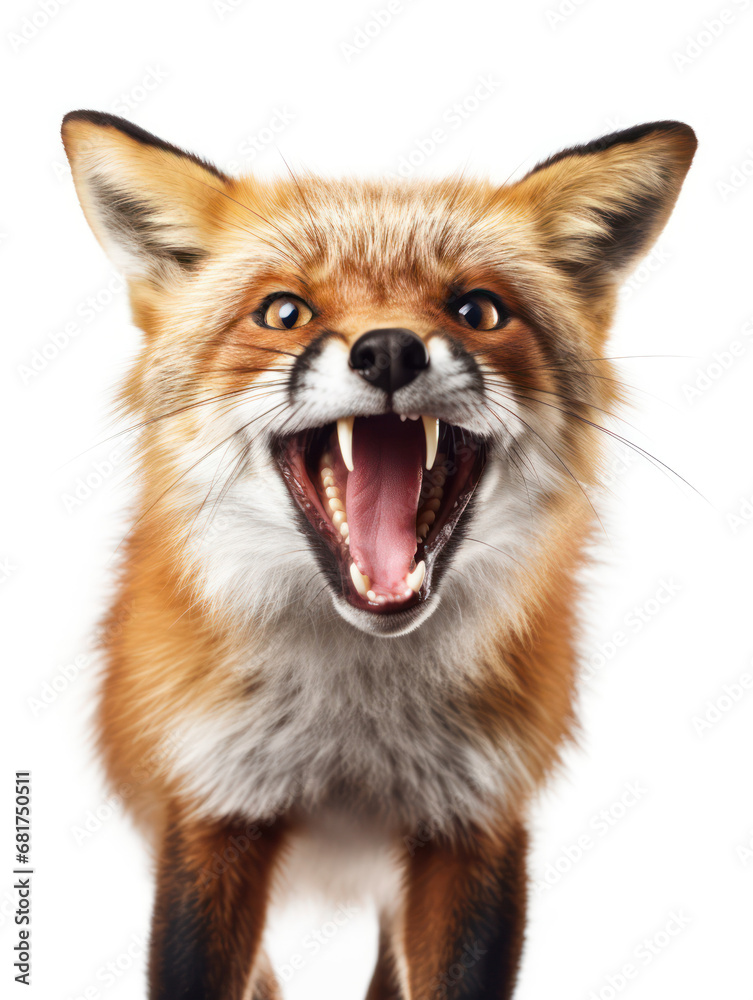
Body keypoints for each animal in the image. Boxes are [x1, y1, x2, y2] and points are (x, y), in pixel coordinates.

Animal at [62, 110, 696, 999]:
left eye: (477, 310)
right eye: (283, 312)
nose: (390, 349)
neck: (356, 725)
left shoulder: (475, 830)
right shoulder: (211, 816)